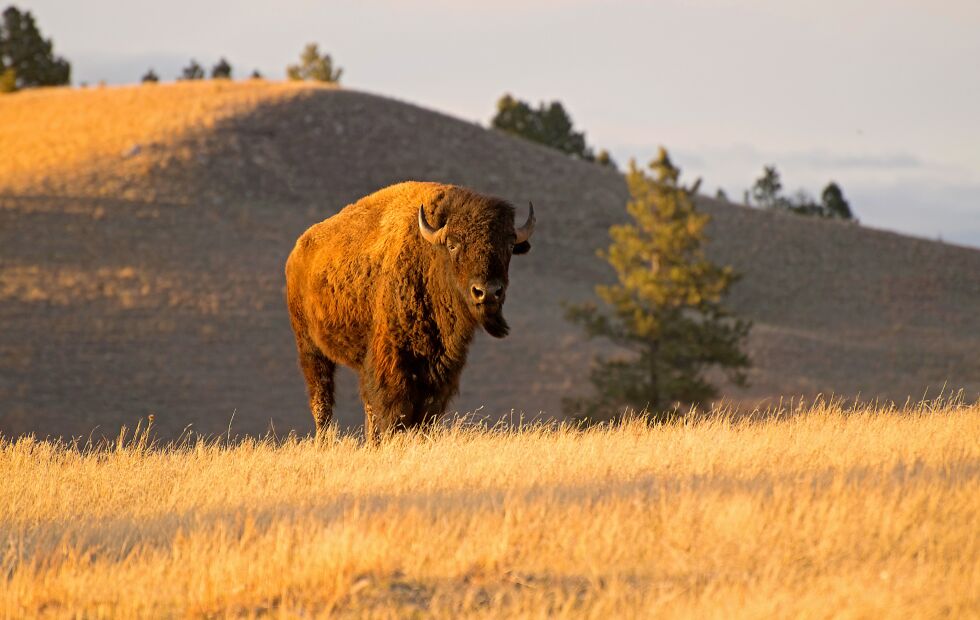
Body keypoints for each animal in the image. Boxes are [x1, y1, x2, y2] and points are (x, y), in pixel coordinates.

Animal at [284, 180, 536, 440]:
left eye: (509, 245)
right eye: (453, 244)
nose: (487, 292)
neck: (428, 255)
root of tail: (298, 251)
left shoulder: (440, 370)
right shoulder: (392, 362)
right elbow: (394, 410)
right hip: (310, 348)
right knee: (321, 399)